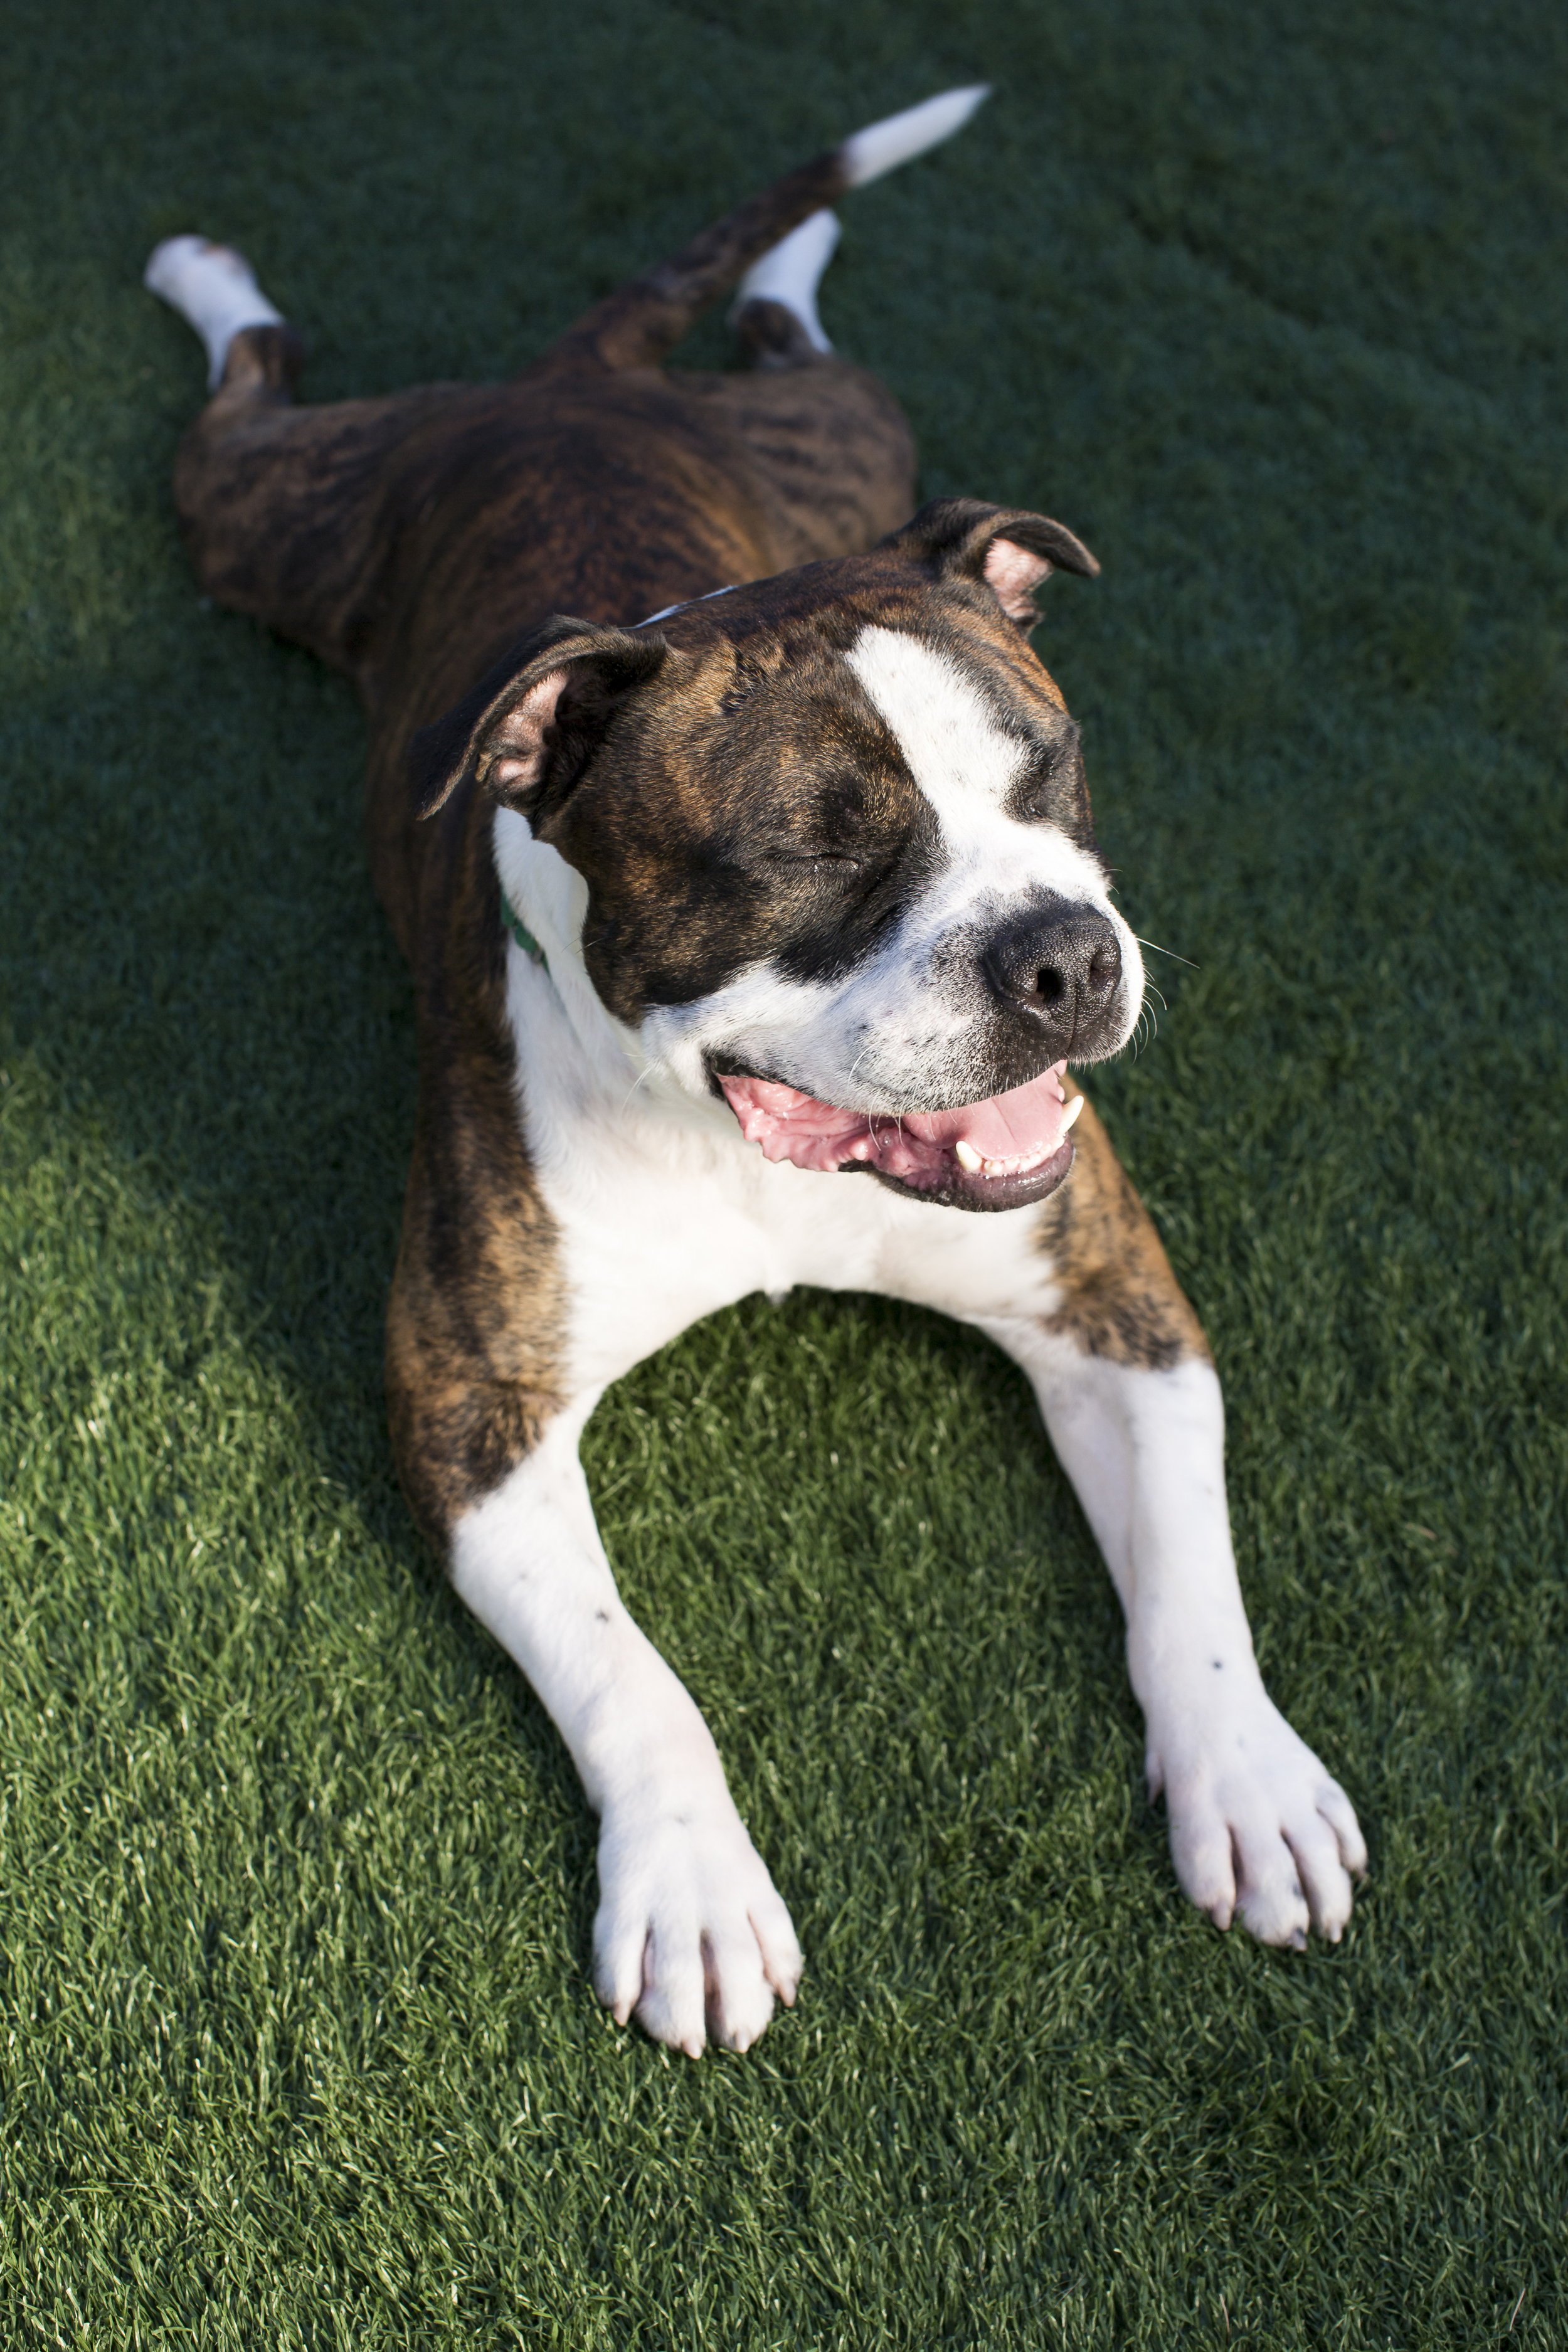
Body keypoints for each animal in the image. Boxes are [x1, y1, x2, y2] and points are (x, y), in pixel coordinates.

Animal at [152, 83, 1363, 2060]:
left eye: (1049, 771)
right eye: (810, 854)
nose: (1064, 953)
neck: (758, 1154)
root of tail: (561, 385)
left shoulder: (1115, 1296)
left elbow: (1189, 1578)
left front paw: (1248, 1778)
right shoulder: (471, 1405)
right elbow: (631, 1672)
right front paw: (693, 1885)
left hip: (853, 443)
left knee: (798, 337)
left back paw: (795, 252)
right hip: (264, 519)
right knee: (249, 382)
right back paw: (203, 263)